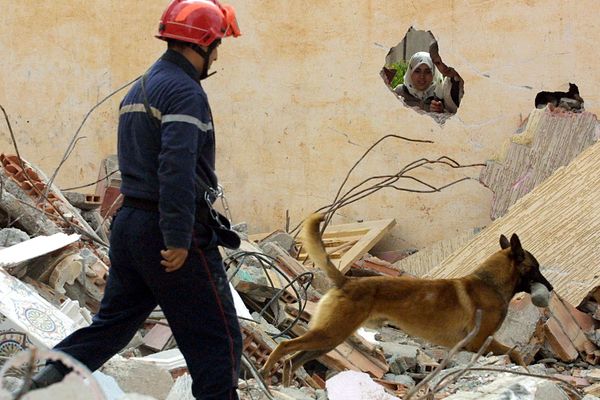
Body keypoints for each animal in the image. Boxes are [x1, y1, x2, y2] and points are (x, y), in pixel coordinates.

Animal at [262, 212, 552, 384]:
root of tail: (347, 280)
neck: (490, 283)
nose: (550, 287)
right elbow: (516, 353)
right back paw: (266, 370)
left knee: (293, 360)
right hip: (329, 334)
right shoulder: (480, 342)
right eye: (536, 267)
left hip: (330, 339)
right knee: (284, 346)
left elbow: (515, 353)